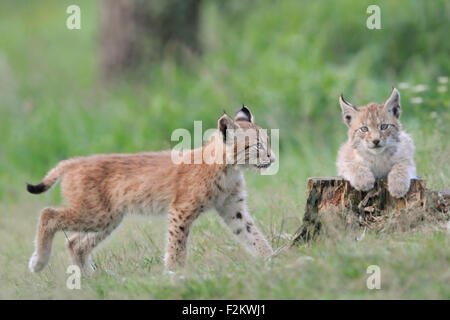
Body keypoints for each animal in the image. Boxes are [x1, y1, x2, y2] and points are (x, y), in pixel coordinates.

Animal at [28, 105, 276, 272]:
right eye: (257, 146)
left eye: (268, 142)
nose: (273, 158)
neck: (230, 168)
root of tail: (74, 161)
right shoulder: (181, 209)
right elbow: (177, 245)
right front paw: (175, 275)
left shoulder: (232, 208)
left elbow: (252, 234)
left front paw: (273, 260)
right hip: (96, 214)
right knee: (47, 214)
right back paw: (39, 262)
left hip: (108, 218)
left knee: (74, 243)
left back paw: (90, 278)